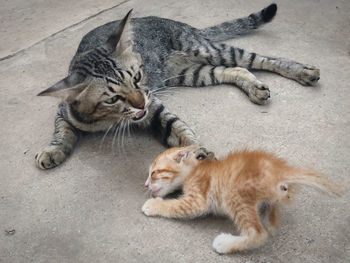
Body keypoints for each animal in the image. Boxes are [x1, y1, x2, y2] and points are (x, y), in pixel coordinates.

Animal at [36, 4, 320, 170]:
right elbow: (62, 131)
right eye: (112, 99)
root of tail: (187, 26)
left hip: (205, 49)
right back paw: (254, 87)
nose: (140, 102)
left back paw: (302, 71)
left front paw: (198, 150)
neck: (109, 120)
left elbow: (179, 128)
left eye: (137, 77)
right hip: (192, 73)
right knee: (236, 70)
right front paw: (53, 150)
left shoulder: (155, 107)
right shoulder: (64, 110)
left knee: (258, 58)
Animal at [142, 145, 342, 255]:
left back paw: (225, 243)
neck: (195, 170)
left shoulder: (197, 200)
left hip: (235, 195)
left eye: (154, 173)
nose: (145, 184)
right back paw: (271, 216)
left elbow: (175, 206)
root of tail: (280, 170)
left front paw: (153, 205)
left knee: (258, 233)